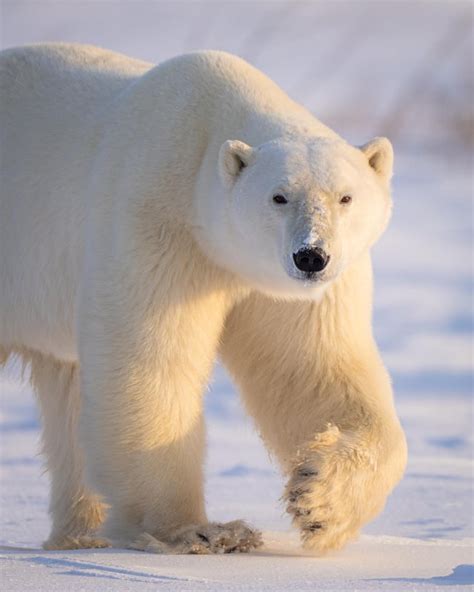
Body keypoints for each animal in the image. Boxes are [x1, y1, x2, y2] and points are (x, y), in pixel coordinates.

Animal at [0, 45, 408, 556]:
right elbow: (152, 363)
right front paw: (200, 531)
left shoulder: (290, 290)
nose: (311, 256)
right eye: (279, 196)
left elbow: (313, 372)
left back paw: (79, 536)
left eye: (345, 197)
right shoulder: (156, 219)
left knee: (68, 392)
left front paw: (319, 497)